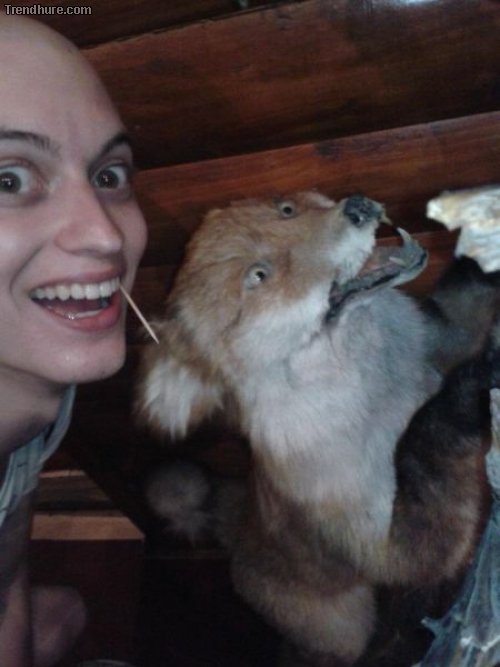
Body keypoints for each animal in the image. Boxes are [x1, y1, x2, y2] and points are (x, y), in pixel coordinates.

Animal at [137, 191, 500, 666]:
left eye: (285, 209)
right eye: (259, 276)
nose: (358, 208)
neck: (375, 386)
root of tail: (235, 528)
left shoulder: (440, 339)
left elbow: (464, 306)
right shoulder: (397, 550)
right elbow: (431, 432)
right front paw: (474, 387)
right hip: (342, 628)